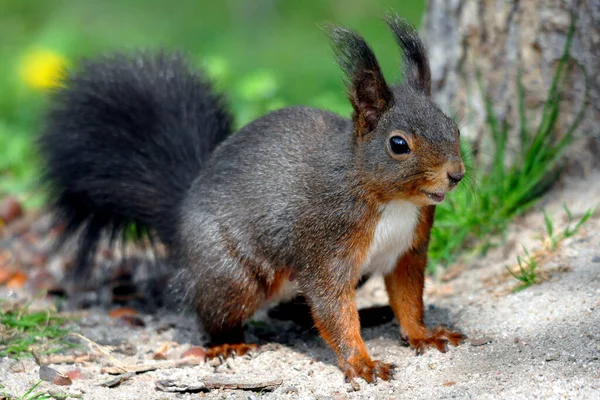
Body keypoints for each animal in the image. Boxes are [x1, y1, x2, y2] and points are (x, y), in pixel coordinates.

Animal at [38, 14, 464, 384]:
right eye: (398, 144)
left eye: (454, 126)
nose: (456, 174)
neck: (390, 199)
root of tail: (180, 215)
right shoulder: (327, 243)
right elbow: (332, 307)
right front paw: (361, 362)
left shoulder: (408, 249)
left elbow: (408, 297)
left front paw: (423, 334)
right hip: (232, 275)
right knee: (215, 313)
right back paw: (227, 345)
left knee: (294, 309)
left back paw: (371, 313)